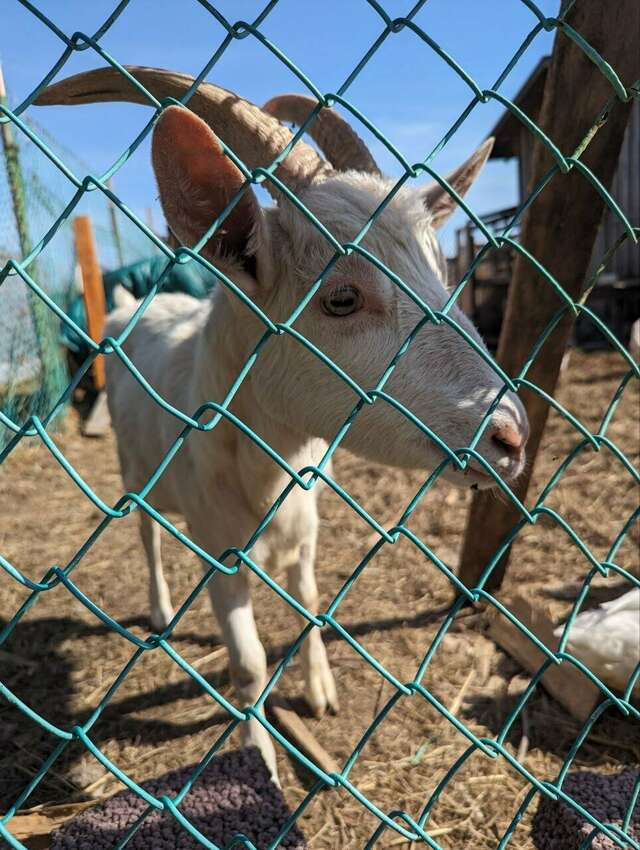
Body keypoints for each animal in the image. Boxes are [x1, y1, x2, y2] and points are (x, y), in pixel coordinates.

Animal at [37, 68, 529, 782]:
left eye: (442, 272)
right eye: (342, 297)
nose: (512, 434)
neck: (267, 467)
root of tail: (132, 302)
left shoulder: (307, 527)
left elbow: (310, 605)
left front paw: (320, 690)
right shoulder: (221, 552)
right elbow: (246, 662)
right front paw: (257, 757)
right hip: (135, 469)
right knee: (146, 531)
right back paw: (159, 609)